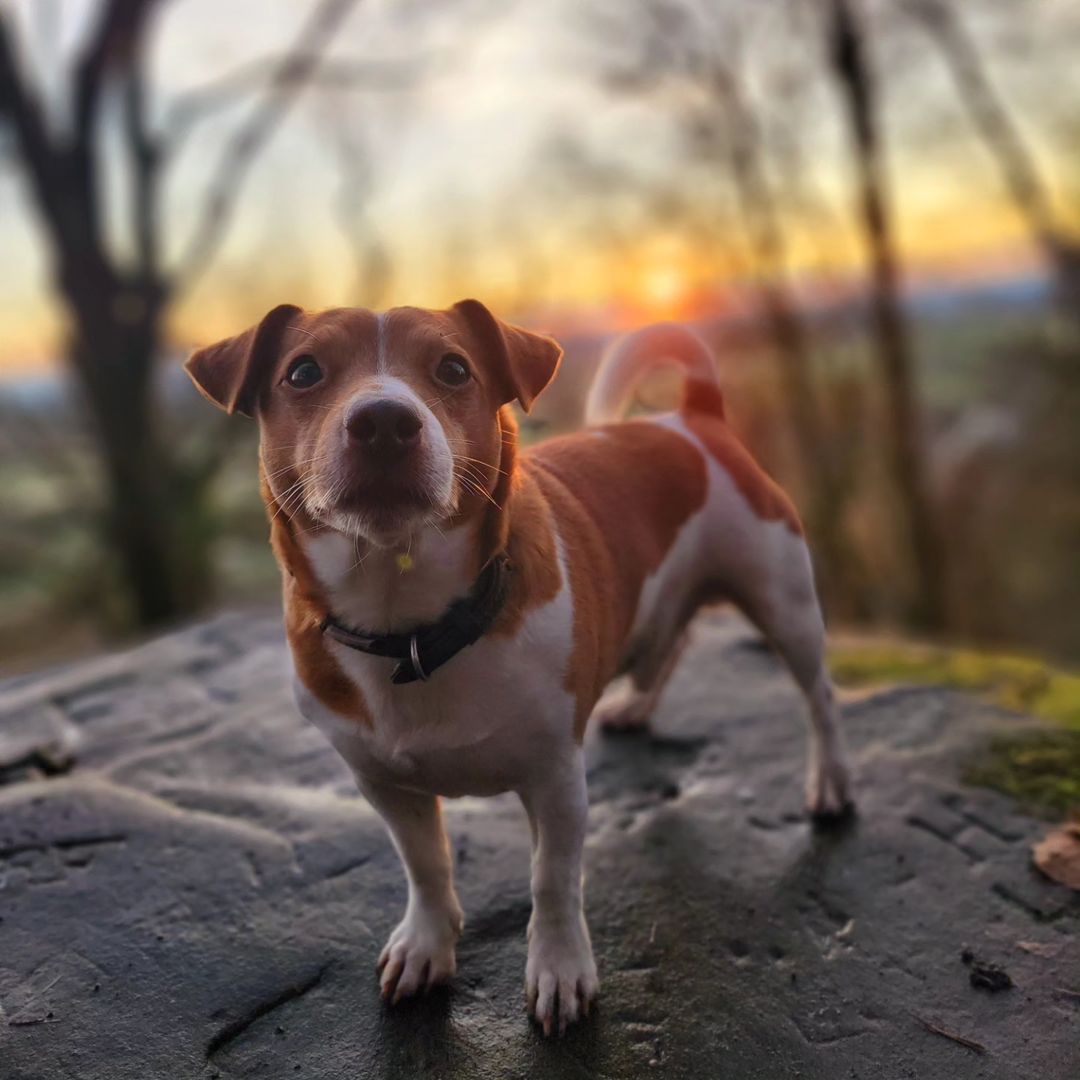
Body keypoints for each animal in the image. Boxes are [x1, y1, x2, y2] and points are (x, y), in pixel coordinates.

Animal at [190, 302, 855, 1036]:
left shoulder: (556, 778)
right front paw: (427, 942)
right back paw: (636, 705)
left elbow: (552, 878)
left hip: (783, 599)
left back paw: (829, 782)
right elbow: (425, 862)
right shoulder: (382, 782)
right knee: (671, 640)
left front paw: (560, 968)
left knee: (820, 695)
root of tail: (691, 418)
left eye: (454, 369)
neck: (414, 630)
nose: (384, 421)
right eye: (303, 372)